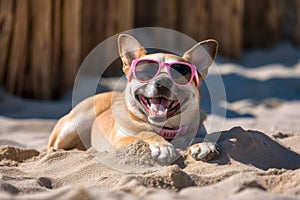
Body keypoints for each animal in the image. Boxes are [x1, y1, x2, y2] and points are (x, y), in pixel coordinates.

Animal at [48, 34, 219, 165]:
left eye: (179, 74)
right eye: (145, 71)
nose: (163, 82)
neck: (165, 128)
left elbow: (198, 136)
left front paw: (202, 144)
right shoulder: (120, 141)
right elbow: (143, 135)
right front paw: (161, 146)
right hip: (74, 125)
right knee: (51, 148)